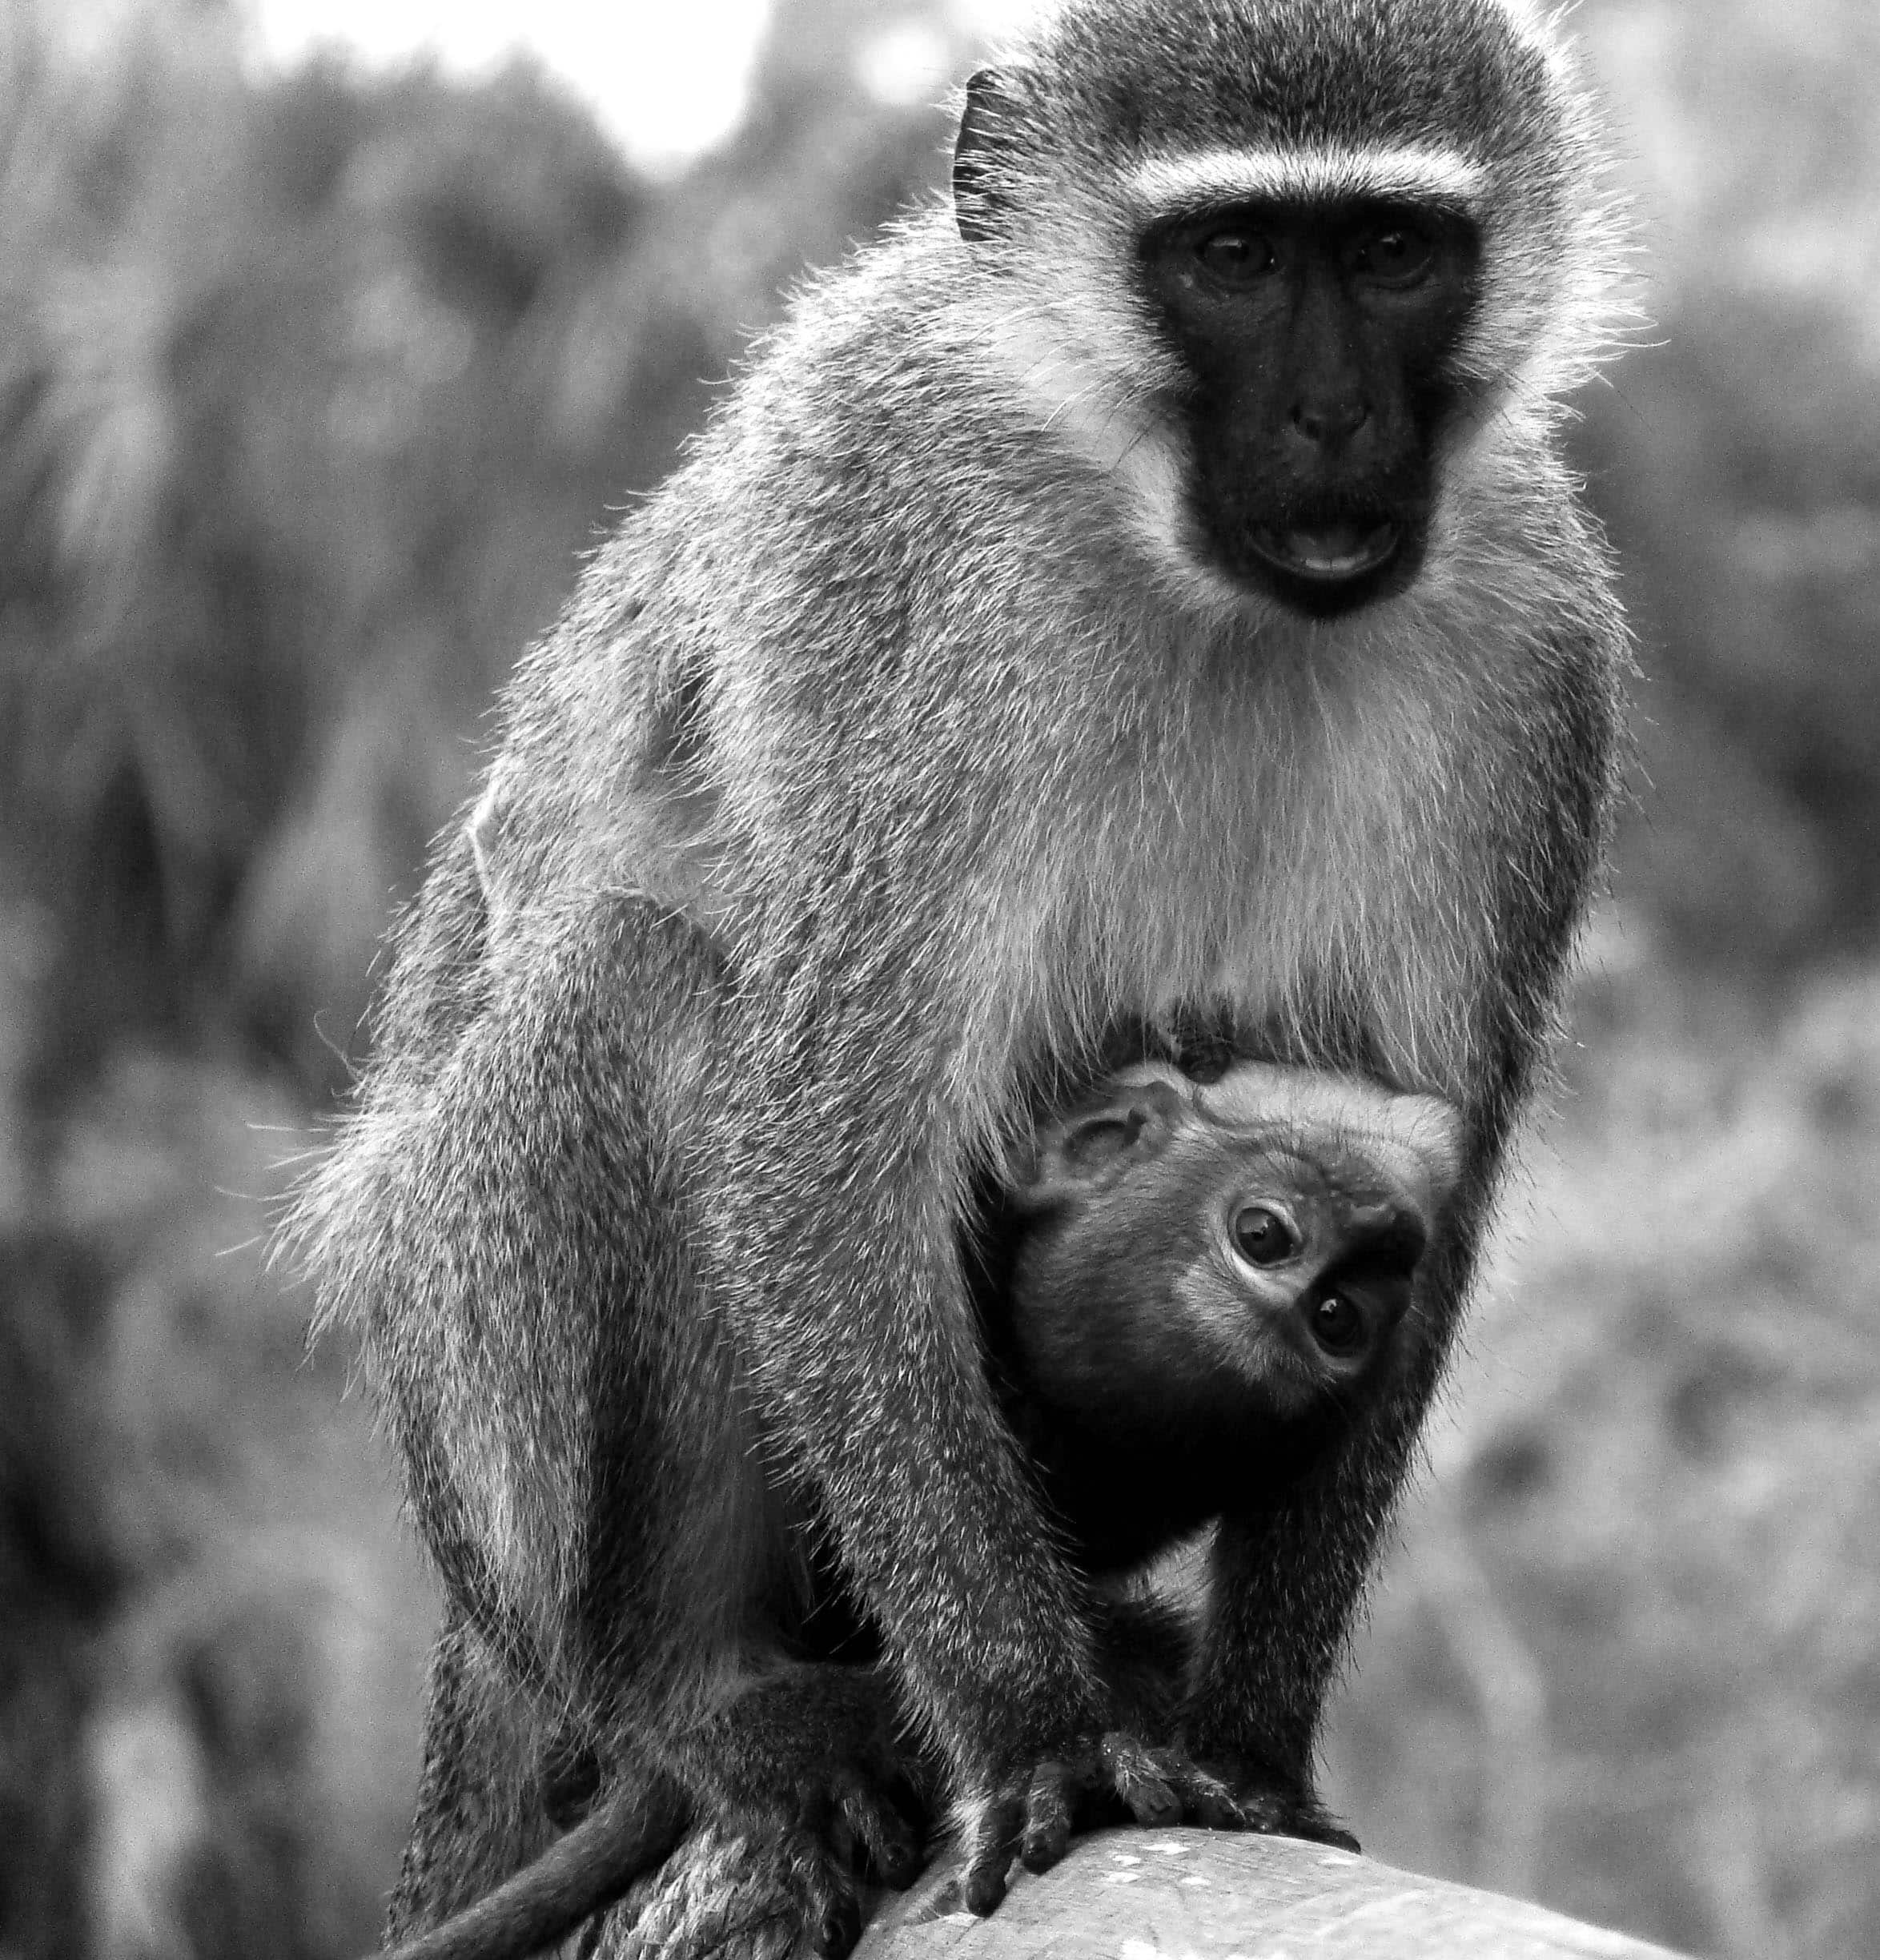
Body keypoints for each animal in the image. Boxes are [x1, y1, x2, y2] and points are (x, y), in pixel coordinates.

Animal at [298, 0, 1631, 1952]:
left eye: (1393, 249)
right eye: (1232, 256)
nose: (1331, 420)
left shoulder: (1533, 654)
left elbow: (1419, 1181)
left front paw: (1247, 1740)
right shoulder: (910, 589)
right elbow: (823, 1139)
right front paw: (1033, 1730)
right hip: (479, 1427)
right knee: (631, 980)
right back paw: (703, 1697)